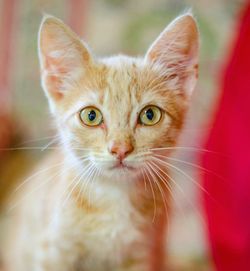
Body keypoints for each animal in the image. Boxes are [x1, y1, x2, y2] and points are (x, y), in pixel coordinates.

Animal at [0, 12, 198, 271]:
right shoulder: (53, 250)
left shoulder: (141, 254)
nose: (120, 149)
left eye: (150, 114)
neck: (114, 196)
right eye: (91, 116)